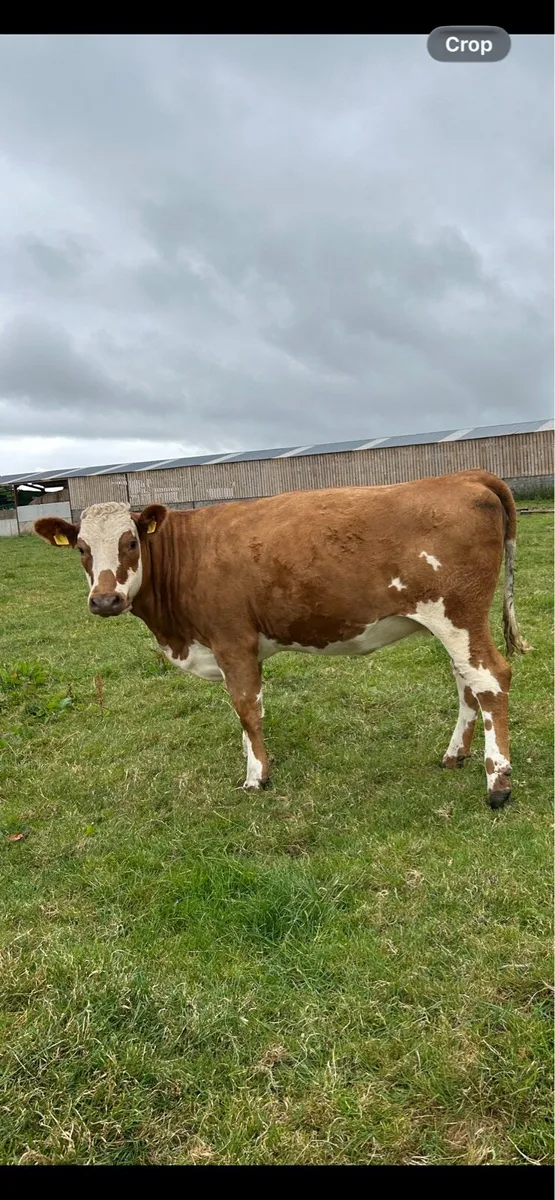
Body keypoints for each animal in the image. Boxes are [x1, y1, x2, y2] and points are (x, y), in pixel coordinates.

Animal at [34, 469, 530, 809]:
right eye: (82, 549)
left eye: (131, 542)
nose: (105, 600)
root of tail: (463, 476)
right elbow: (243, 715)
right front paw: (253, 761)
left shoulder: (232, 640)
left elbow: (246, 709)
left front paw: (256, 776)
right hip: (451, 623)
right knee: (466, 680)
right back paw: (455, 755)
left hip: (458, 614)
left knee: (490, 678)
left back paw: (498, 783)